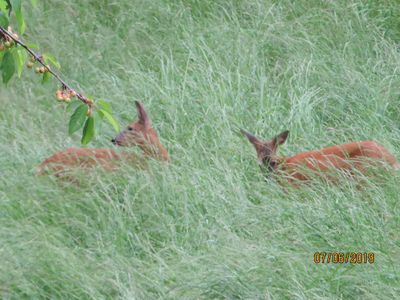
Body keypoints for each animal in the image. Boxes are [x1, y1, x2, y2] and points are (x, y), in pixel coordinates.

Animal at [241, 129, 400, 185]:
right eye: (258, 163)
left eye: (273, 162)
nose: (268, 177)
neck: (284, 165)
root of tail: (393, 160)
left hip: (364, 175)